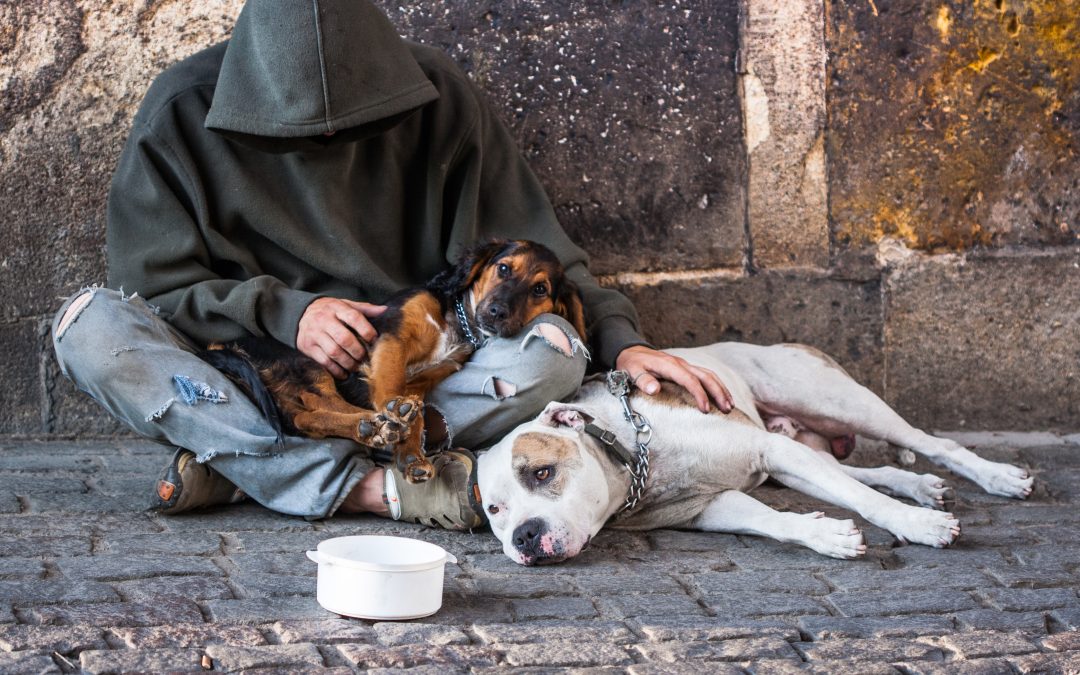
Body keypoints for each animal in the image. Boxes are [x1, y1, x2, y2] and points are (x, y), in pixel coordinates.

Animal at [203, 239, 591, 481]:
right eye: (504, 269)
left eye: (539, 289)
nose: (496, 313)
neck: (457, 323)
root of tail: (220, 347)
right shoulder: (392, 337)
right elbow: (390, 384)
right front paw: (397, 415)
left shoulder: (431, 374)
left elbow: (415, 409)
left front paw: (411, 455)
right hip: (309, 363)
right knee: (315, 407)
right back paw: (374, 425)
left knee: (308, 417)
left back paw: (374, 428)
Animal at [477, 341, 1032, 561]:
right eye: (495, 511)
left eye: (542, 473)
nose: (525, 536)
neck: (634, 459)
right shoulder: (709, 506)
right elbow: (772, 520)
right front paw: (825, 534)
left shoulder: (769, 450)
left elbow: (867, 502)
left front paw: (917, 526)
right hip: (801, 449)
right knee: (866, 472)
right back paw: (918, 486)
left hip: (840, 403)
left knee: (931, 442)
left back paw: (998, 477)